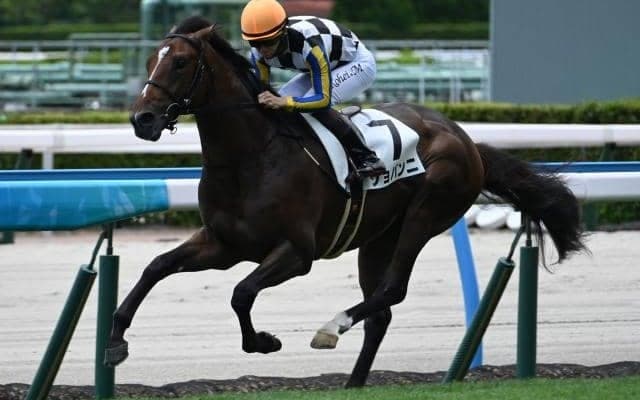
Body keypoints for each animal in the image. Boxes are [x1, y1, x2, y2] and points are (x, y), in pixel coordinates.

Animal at [105, 16, 587, 387]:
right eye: (149, 61)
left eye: (180, 62)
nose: (142, 119)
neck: (251, 157)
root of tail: (468, 142)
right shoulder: (223, 245)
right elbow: (156, 268)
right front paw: (115, 341)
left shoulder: (297, 253)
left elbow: (241, 293)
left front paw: (264, 341)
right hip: (378, 237)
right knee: (381, 312)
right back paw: (353, 382)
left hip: (427, 213)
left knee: (392, 290)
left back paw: (330, 327)